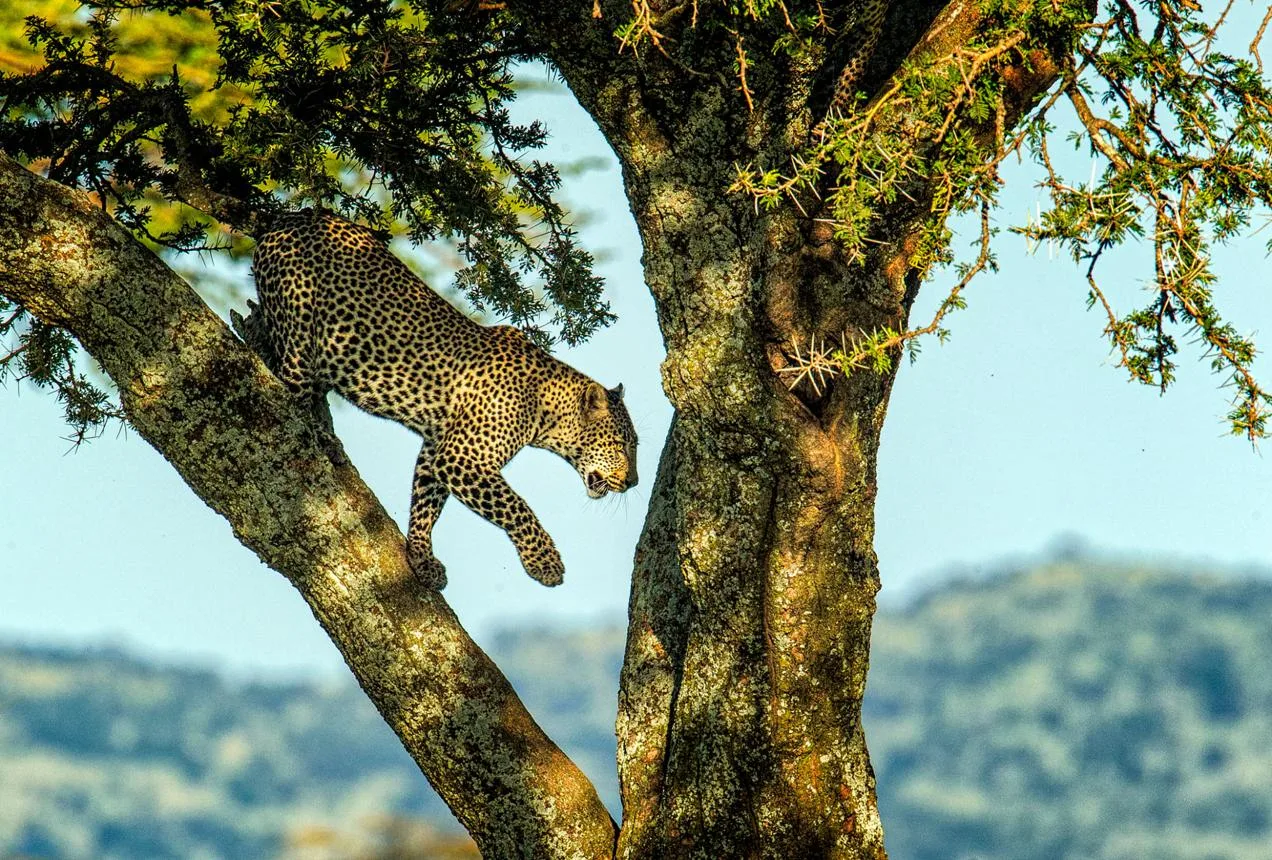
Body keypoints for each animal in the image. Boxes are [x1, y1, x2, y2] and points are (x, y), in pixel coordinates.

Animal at [231, 209, 638, 590]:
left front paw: (421, 558)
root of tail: (295, 215)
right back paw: (320, 436)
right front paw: (545, 563)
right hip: (301, 332)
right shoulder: (461, 457)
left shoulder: (437, 450)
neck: (544, 408)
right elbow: (516, 506)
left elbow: (426, 504)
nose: (633, 482)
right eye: (621, 445)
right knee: (287, 397)